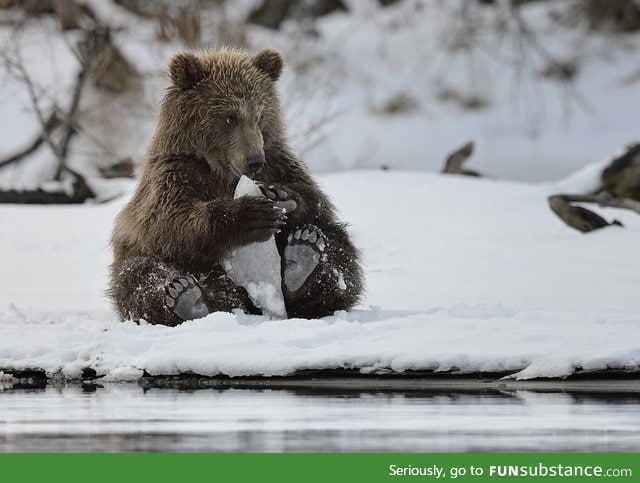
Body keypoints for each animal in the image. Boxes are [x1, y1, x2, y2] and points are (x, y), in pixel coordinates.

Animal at [110, 47, 364, 328]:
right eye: (230, 117)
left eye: (260, 115)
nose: (254, 161)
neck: (222, 170)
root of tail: (241, 297)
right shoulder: (175, 172)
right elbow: (171, 219)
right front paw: (250, 215)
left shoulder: (277, 162)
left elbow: (315, 199)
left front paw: (283, 197)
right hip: (163, 261)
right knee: (138, 275)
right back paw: (186, 298)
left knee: (337, 247)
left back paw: (303, 258)